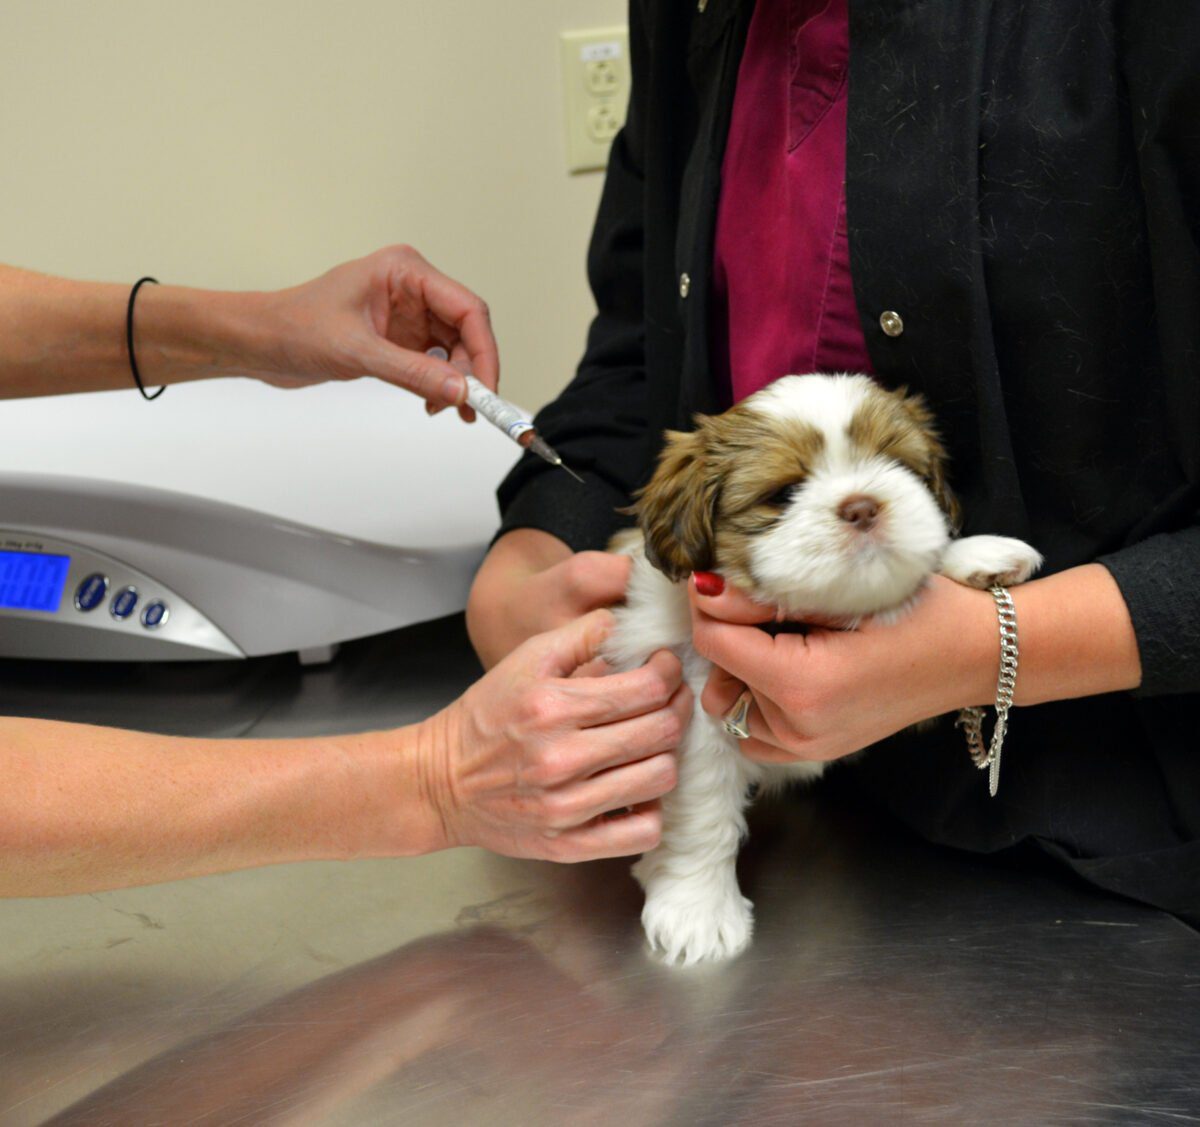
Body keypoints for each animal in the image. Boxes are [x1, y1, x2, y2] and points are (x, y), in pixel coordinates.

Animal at [600, 374, 1041, 964]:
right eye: (783, 494)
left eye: (894, 464)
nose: (862, 506)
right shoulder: (692, 706)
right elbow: (703, 808)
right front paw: (697, 909)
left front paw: (975, 556)